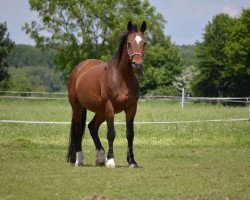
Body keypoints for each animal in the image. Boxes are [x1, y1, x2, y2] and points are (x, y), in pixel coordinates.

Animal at [66, 21, 146, 168]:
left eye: (144, 43)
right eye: (129, 43)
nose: (137, 65)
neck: (122, 77)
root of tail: (78, 69)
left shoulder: (132, 108)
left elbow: (130, 133)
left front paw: (132, 161)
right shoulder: (110, 107)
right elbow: (111, 133)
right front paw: (111, 161)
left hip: (100, 111)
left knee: (92, 127)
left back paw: (100, 157)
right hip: (78, 107)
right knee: (78, 130)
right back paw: (79, 160)